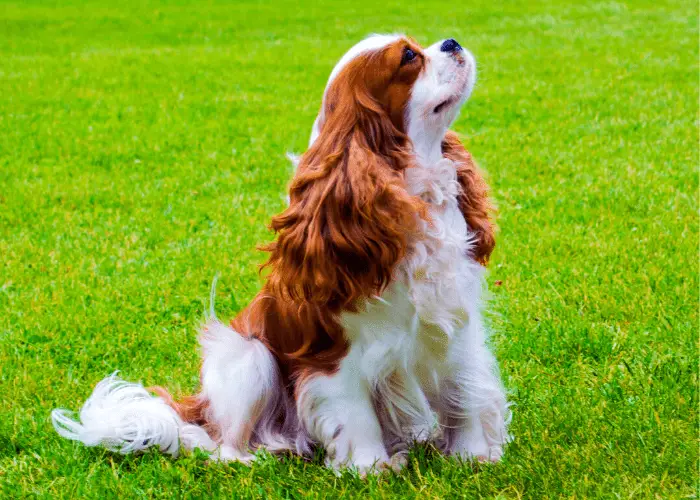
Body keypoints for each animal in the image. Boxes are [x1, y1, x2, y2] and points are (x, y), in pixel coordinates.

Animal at [53, 34, 508, 472]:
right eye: (409, 57)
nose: (451, 42)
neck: (412, 197)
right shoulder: (334, 356)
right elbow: (356, 414)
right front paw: (370, 468)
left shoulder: (456, 328)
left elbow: (463, 394)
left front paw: (471, 457)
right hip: (248, 357)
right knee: (221, 443)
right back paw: (256, 454)